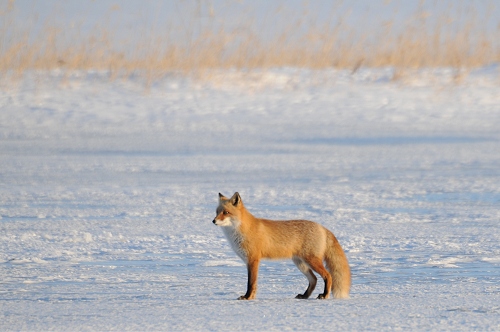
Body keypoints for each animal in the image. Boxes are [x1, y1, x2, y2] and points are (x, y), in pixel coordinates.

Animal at [212, 192, 352, 300]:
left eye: (226, 212)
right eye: (217, 212)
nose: (213, 221)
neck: (242, 230)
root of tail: (322, 227)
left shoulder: (253, 260)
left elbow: (251, 283)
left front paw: (247, 297)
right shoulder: (249, 261)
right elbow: (253, 284)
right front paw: (251, 297)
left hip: (311, 260)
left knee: (328, 276)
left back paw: (325, 295)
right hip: (300, 263)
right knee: (314, 279)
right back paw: (304, 296)